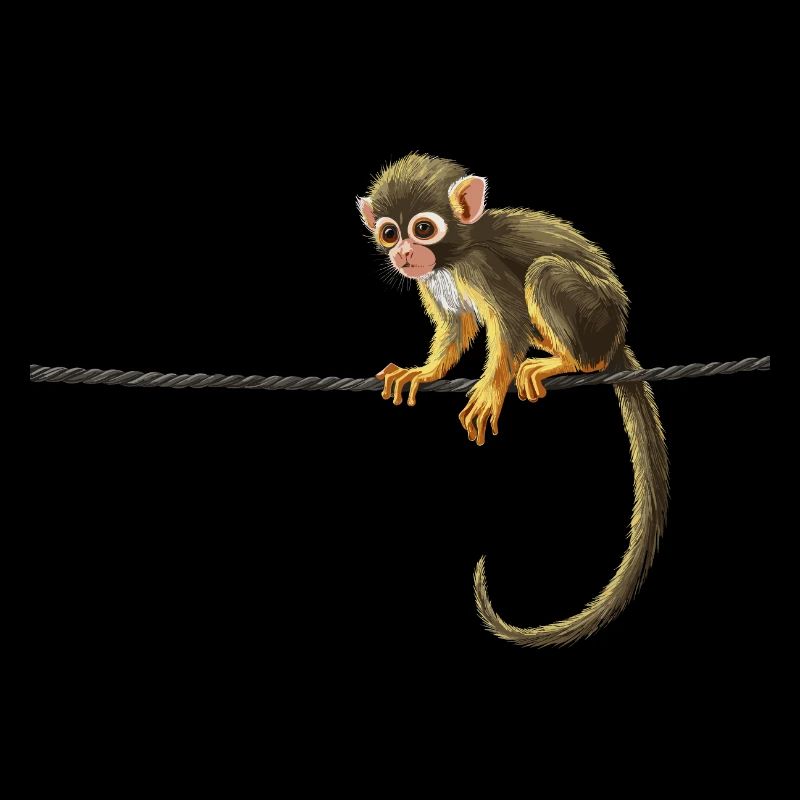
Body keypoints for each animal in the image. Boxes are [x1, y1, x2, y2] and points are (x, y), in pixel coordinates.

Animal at [357, 153, 669, 648]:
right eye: (390, 233)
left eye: (422, 229)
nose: (404, 254)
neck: (452, 255)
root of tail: (616, 336)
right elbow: (456, 327)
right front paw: (423, 373)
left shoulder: (479, 265)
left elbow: (511, 320)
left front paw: (490, 389)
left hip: (593, 316)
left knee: (543, 273)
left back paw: (574, 362)